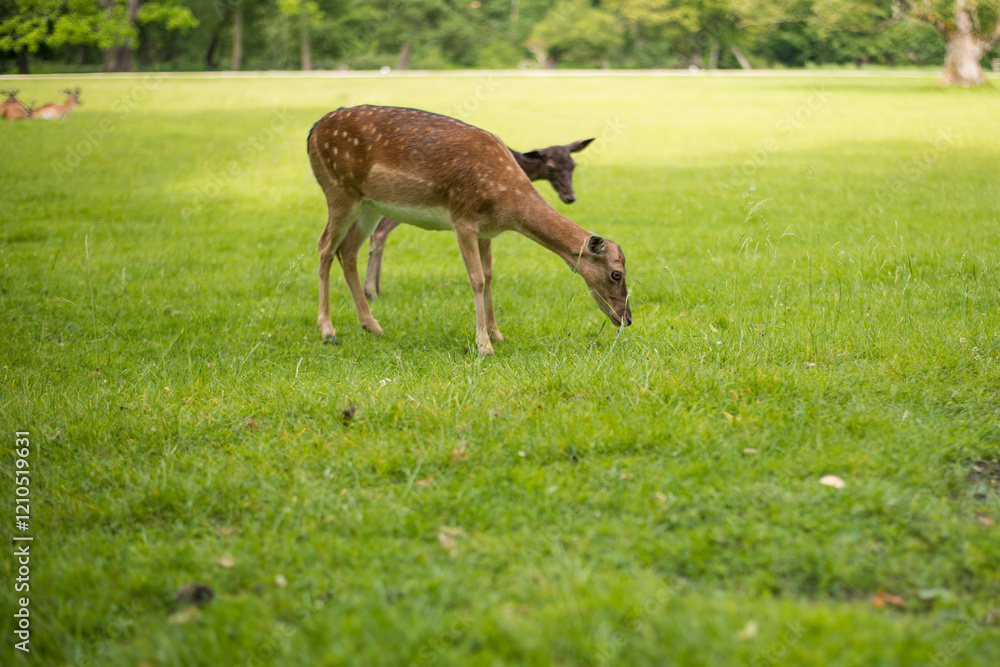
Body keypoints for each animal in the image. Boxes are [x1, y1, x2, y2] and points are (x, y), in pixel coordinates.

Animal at [363, 138, 594, 301]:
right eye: (550, 168)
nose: (570, 197)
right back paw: (371, 292)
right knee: (380, 231)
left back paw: (377, 289)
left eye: (573, 165)